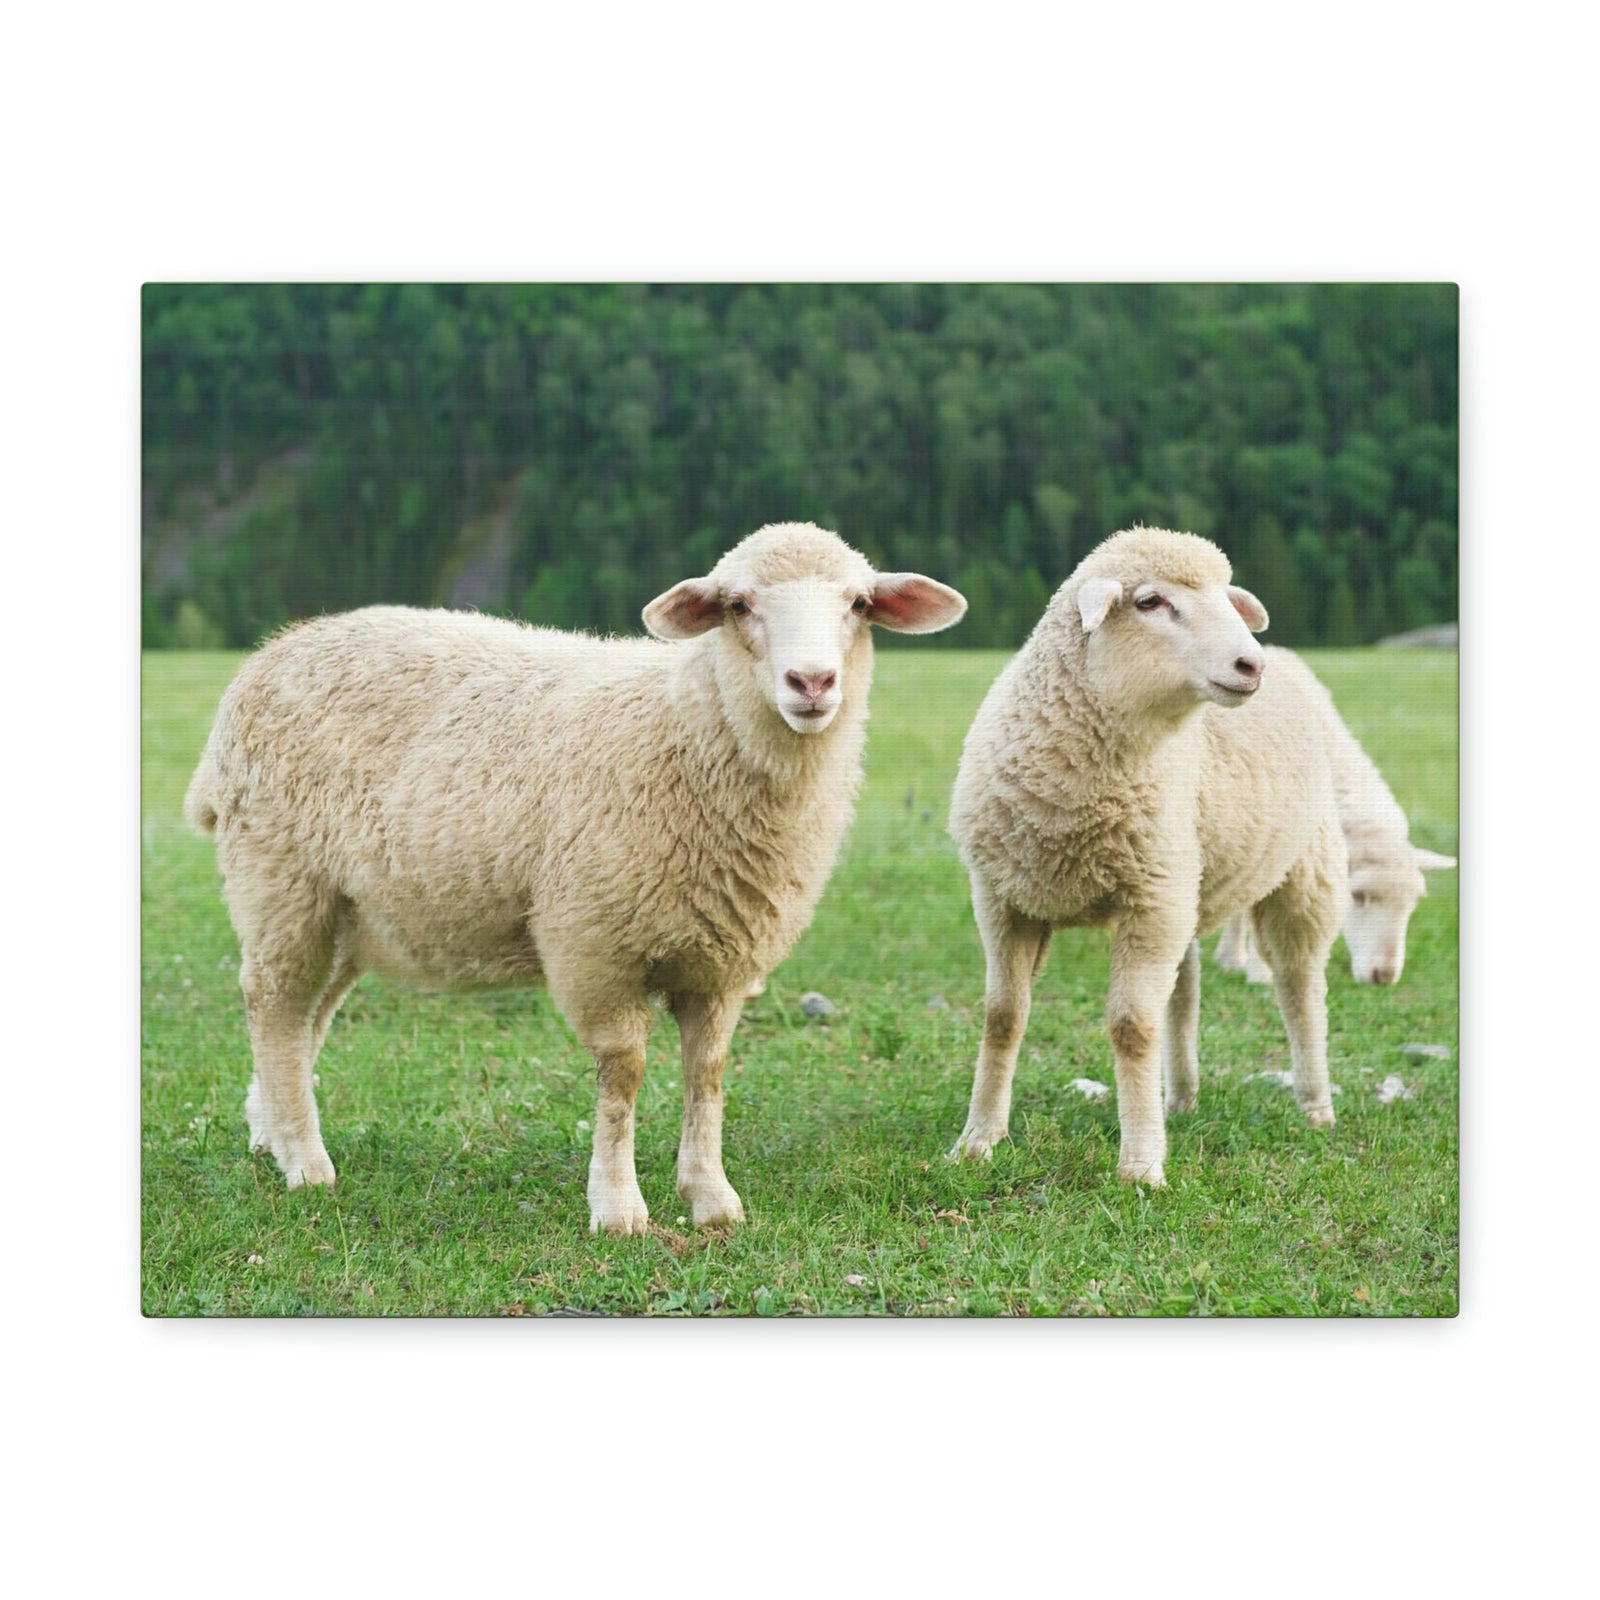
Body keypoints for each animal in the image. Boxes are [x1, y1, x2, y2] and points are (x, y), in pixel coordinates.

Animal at [184, 522, 967, 1235]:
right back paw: (305, 1162)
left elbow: (708, 1073)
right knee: (274, 1006)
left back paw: (272, 1131)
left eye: (859, 603)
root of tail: (271, 653)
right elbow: (623, 1075)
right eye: (739, 604)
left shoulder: (723, 960)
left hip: (349, 909)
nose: (812, 683)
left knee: (306, 1018)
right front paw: (618, 1209)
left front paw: (711, 1198)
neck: (689, 731)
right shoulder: (597, 945)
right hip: (280, 879)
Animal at [947, 526, 1346, 1187]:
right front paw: (978, 1140)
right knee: (1183, 995)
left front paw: (1140, 1165)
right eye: (1150, 602)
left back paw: (1315, 1105)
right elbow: (1002, 1017)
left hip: (1300, 873)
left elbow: (1131, 1029)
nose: (1250, 665)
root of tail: (1291, 661)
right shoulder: (1003, 899)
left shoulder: (1149, 901)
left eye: (1227, 598)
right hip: (1185, 882)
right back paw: (1178, 1099)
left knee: (1300, 987)